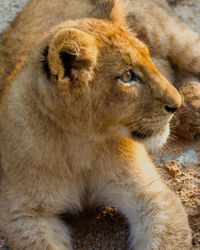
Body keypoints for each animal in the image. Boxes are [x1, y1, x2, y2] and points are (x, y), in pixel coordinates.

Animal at [0, 0, 197, 249]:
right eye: (127, 76)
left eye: (149, 59)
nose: (176, 105)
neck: (80, 142)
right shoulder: (24, 212)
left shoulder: (151, 194)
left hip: (175, 37)